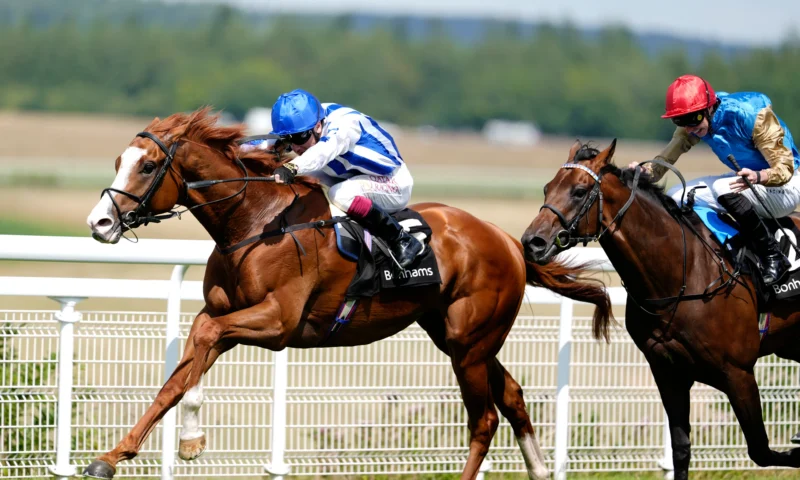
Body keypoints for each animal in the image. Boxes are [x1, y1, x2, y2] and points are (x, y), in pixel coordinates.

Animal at [83, 108, 612, 479]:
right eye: (119, 161)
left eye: (148, 166)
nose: (99, 223)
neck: (254, 222)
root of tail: (508, 242)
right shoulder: (225, 314)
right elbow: (180, 373)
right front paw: (115, 455)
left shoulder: (276, 321)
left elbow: (206, 340)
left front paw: (188, 438)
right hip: (460, 339)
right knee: (514, 397)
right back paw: (539, 469)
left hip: (470, 343)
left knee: (483, 421)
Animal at [520, 138, 800, 479]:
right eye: (547, 188)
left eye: (580, 190)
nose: (532, 242)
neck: (683, 272)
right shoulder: (668, 371)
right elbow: (681, 449)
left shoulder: (738, 372)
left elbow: (761, 449)